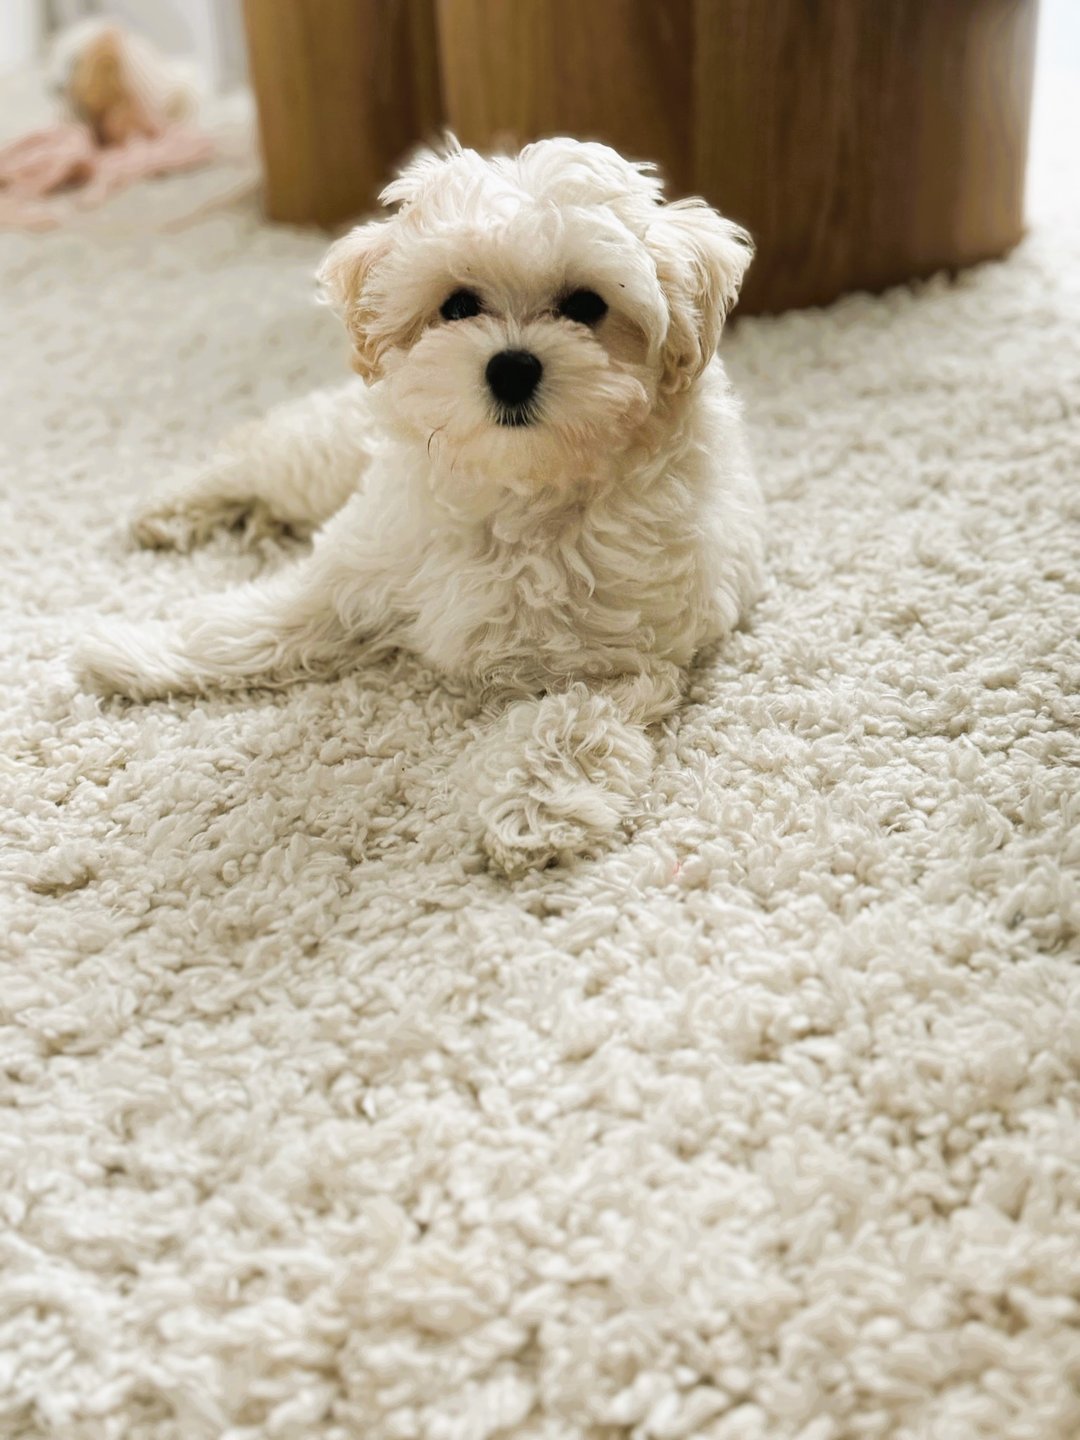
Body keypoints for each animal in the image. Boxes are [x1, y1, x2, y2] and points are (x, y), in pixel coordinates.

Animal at [74, 136, 765, 875]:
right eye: (458, 306)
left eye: (586, 305)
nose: (511, 367)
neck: (516, 490)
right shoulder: (354, 573)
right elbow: (252, 622)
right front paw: (138, 650)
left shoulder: (616, 661)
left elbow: (567, 724)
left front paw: (534, 809)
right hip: (329, 459)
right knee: (257, 456)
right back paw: (169, 506)